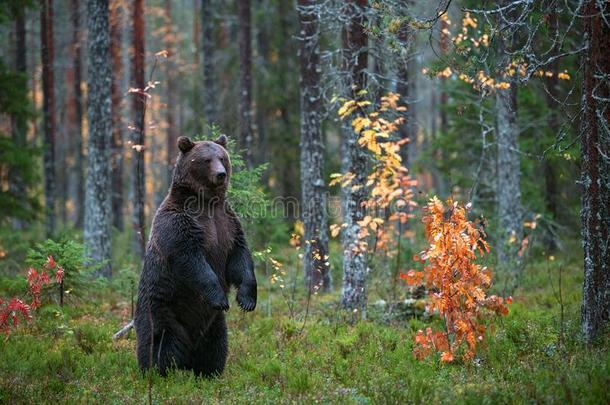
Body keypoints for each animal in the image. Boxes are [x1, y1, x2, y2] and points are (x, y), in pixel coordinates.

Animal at [134, 135, 255, 376]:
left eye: (222, 157)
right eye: (206, 160)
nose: (221, 174)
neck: (205, 202)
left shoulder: (228, 224)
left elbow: (239, 258)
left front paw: (246, 300)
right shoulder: (178, 224)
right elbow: (192, 261)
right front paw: (221, 298)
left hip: (212, 324)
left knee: (216, 345)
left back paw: (208, 372)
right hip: (162, 310)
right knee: (162, 343)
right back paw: (158, 372)